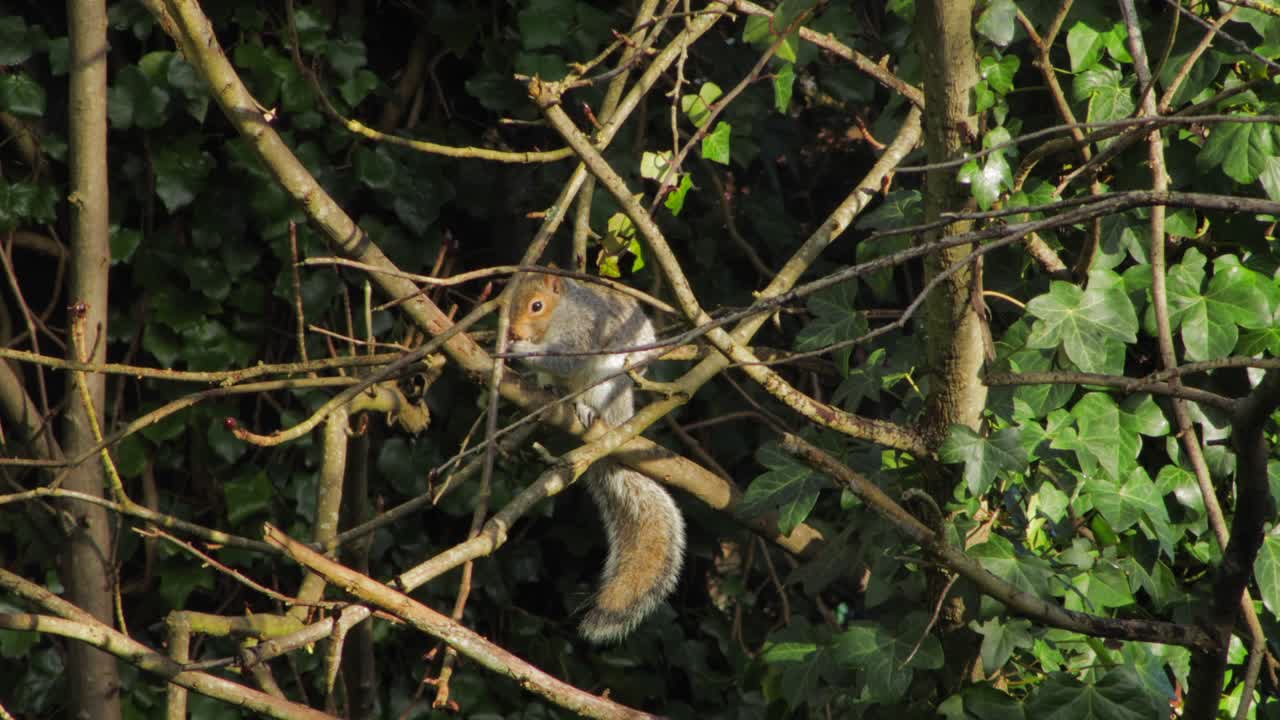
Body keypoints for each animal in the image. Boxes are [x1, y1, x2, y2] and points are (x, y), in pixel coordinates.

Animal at [507, 269, 686, 643]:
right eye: (510, 302)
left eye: (536, 305)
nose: (513, 331)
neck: (560, 317)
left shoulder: (587, 331)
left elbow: (565, 358)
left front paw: (521, 350)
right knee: (557, 383)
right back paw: (553, 391)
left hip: (606, 381)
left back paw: (586, 409)